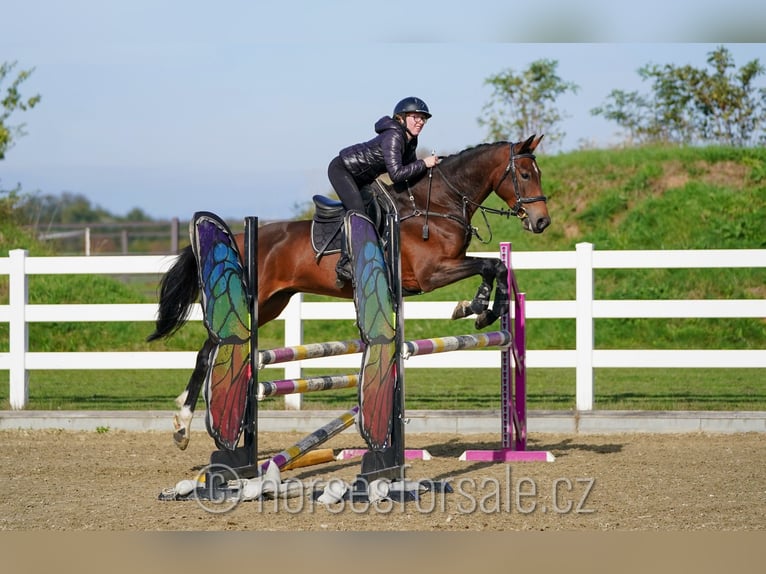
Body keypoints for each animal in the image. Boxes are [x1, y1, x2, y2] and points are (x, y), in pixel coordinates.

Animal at [147, 135, 548, 450]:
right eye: (525, 174)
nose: (541, 221)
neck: (436, 206)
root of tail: (240, 236)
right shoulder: (431, 274)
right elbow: (489, 266)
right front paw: (476, 307)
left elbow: (496, 267)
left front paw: (481, 310)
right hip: (252, 303)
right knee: (208, 350)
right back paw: (182, 425)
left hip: (271, 305)